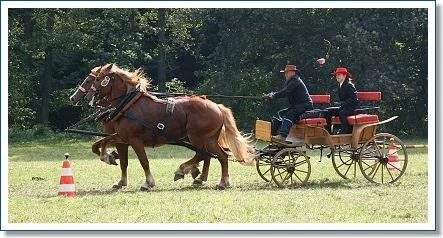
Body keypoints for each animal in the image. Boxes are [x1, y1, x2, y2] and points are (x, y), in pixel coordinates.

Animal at [70, 63, 253, 190]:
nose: (74, 97)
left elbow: (143, 161)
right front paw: (118, 175)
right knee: (210, 155)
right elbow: (116, 156)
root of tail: (217, 107)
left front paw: (148, 183)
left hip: (199, 137)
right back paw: (201, 177)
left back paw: (207, 177)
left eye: (93, 79)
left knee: (215, 155)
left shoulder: (134, 139)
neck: (125, 106)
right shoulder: (122, 138)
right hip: (205, 138)